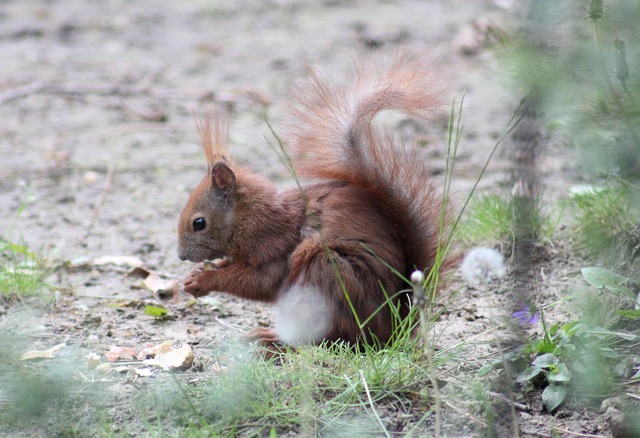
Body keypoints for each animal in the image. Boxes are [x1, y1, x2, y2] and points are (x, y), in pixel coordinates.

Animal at [178, 54, 452, 346]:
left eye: (199, 223)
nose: (181, 257)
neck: (246, 216)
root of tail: (393, 329)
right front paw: (196, 275)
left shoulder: (272, 242)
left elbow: (259, 281)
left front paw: (205, 280)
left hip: (327, 274)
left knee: (334, 339)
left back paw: (274, 342)